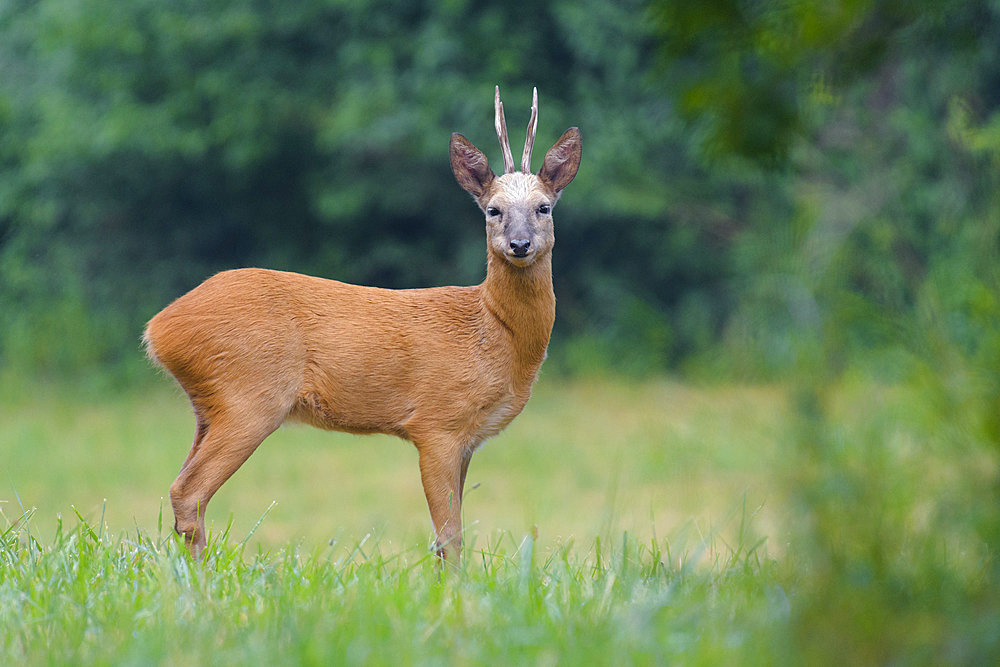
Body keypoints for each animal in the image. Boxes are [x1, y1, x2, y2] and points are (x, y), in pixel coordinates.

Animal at [145, 86, 584, 560]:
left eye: (543, 207)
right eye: (493, 210)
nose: (520, 244)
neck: (490, 334)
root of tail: (157, 329)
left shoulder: (468, 439)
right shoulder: (437, 422)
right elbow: (449, 536)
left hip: (209, 405)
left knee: (182, 490)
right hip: (249, 395)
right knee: (188, 492)